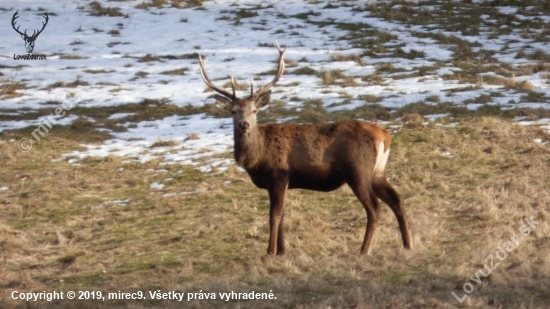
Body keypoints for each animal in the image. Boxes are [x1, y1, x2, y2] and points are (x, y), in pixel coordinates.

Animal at [198, 43, 414, 255]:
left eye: (254, 110)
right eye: (233, 111)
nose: (244, 124)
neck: (256, 158)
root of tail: (385, 135)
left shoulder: (278, 176)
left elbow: (274, 216)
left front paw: (270, 252)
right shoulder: (278, 183)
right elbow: (282, 215)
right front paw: (282, 251)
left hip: (357, 169)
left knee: (374, 207)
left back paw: (364, 249)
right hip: (377, 171)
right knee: (396, 199)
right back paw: (407, 244)